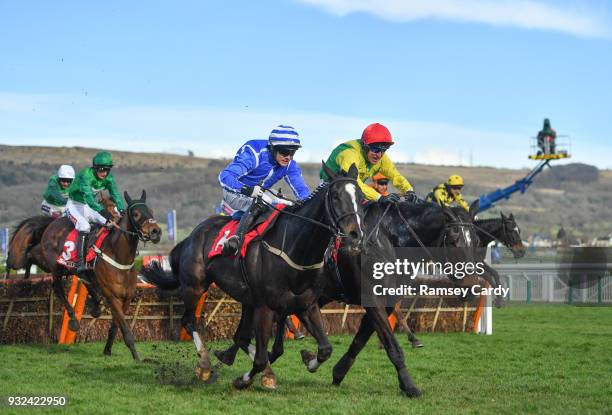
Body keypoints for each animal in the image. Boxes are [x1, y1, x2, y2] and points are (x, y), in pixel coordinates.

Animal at [35, 190, 160, 360]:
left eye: (151, 211)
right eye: (135, 214)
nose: (156, 231)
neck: (119, 256)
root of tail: (51, 225)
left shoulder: (127, 298)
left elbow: (116, 326)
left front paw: (107, 349)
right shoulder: (112, 296)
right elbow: (125, 329)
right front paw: (136, 357)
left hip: (73, 270)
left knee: (84, 279)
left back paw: (95, 306)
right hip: (57, 267)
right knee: (58, 288)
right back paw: (73, 320)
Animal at [141, 165, 366, 390]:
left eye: (361, 198)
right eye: (335, 196)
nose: (355, 235)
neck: (295, 249)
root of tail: (192, 235)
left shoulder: (306, 305)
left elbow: (325, 349)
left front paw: (306, 359)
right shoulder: (266, 307)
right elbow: (260, 359)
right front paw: (243, 380)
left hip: (246, 300)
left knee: (240, 337)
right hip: (195, 286)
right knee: (189, 321)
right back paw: (205, 365)